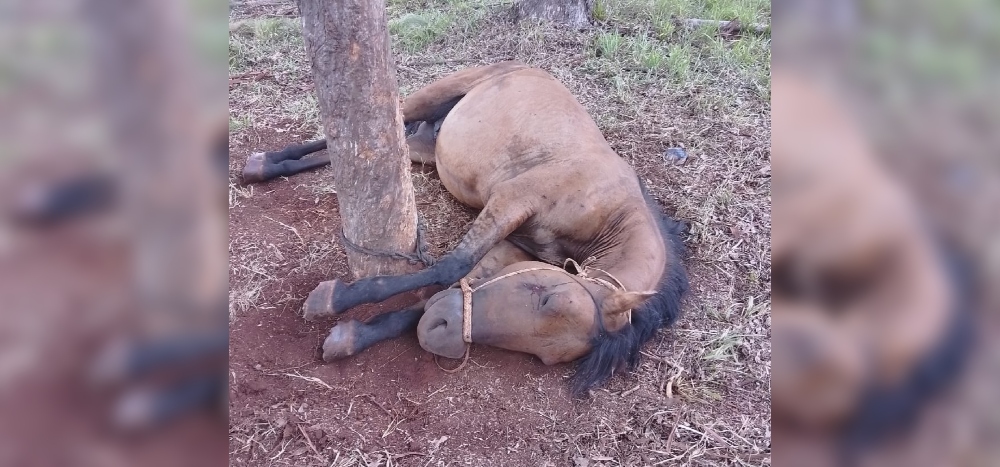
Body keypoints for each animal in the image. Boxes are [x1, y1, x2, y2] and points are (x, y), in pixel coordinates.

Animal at [250, 60, 688, 394]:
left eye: (543, 355)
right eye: (550, 298)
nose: (439, 334)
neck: (610, 209)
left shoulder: (513, 248)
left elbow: (447, 288)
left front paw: (354, 336)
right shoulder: (512, 201)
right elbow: (451, 266)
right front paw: (335, 298)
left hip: (425, 150)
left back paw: (270, 166)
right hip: (428, 99)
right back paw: (265, 162)